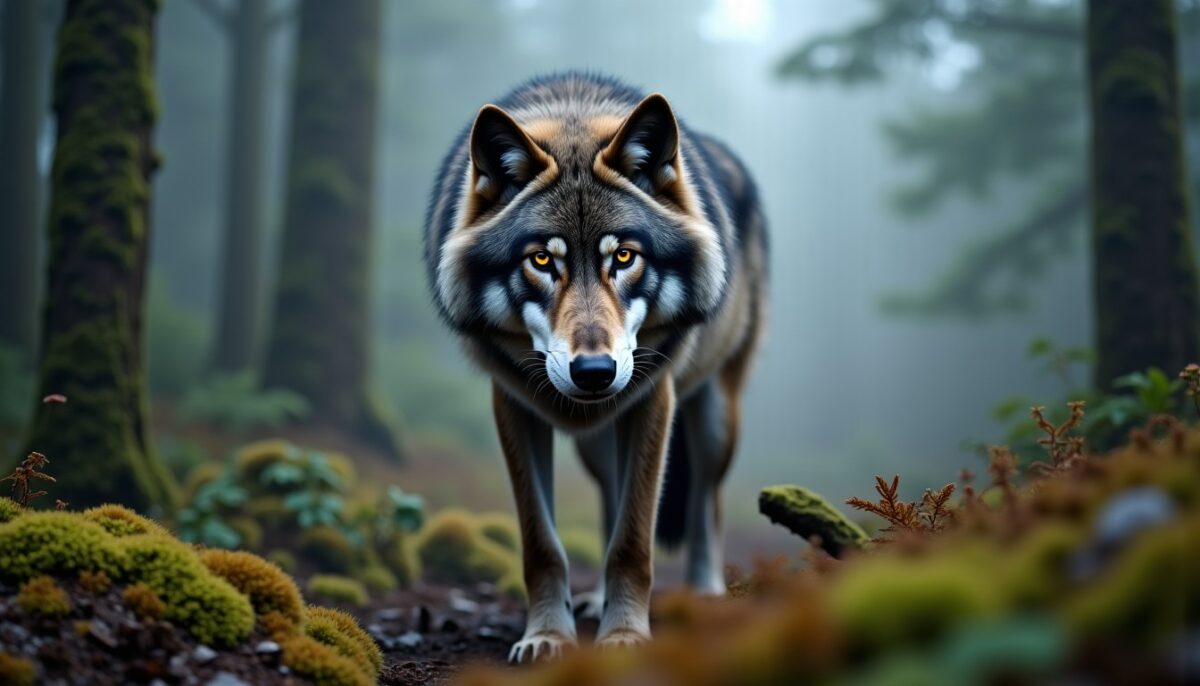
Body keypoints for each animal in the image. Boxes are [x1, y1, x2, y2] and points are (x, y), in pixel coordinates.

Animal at [424, 73, 768, 662]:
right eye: (542, 260)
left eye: (624, 257)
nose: (594, 372)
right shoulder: (512, 405)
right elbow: (544, 545)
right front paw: (547, 636)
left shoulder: (655, 400)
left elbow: (632, 542)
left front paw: (625, 636)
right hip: (595, 448)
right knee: (613, 497)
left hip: (714, 420)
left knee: (707, 503)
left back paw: (705, 597)